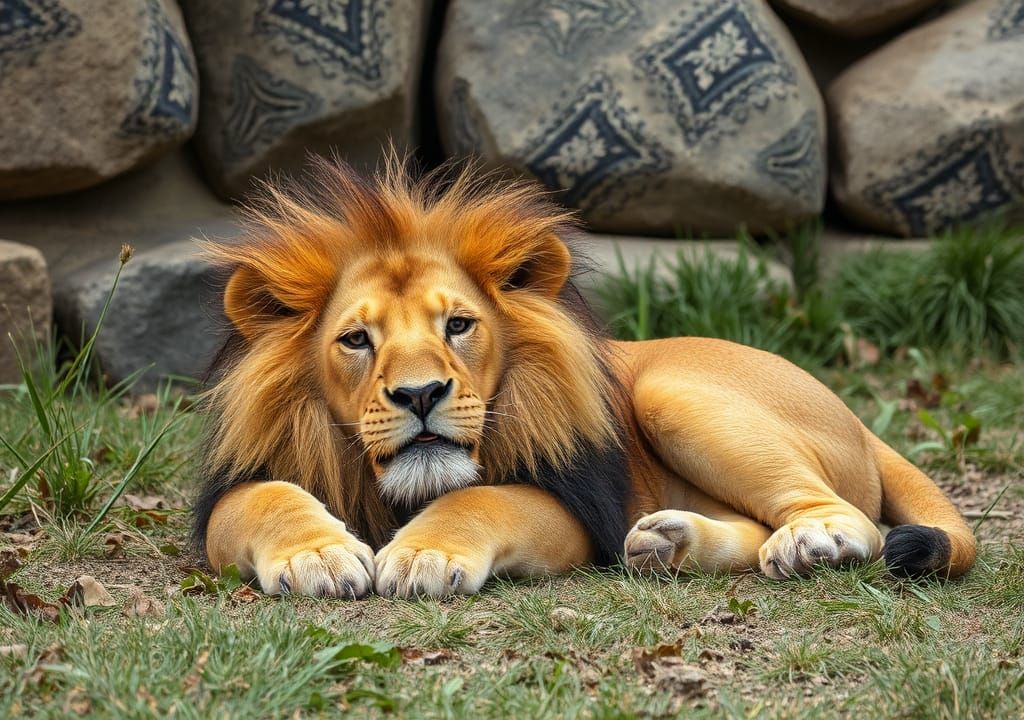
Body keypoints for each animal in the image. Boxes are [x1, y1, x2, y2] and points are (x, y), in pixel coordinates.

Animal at [193, 158, 975, 599]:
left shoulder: (570, 503)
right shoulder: (237, 486)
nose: (420, 395)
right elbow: (263, 500)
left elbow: (480, 500)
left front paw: (422, 553)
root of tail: (860, 422)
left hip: (671, 392)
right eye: (356, 339)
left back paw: (811, 544)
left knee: (848, 517)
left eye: (459, 326)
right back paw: (669, 545)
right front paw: (319, 557)